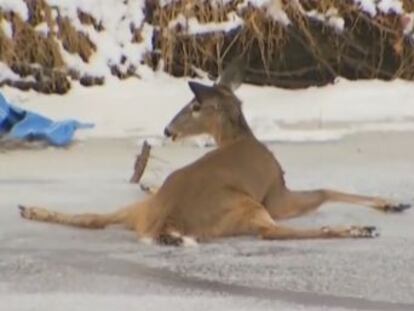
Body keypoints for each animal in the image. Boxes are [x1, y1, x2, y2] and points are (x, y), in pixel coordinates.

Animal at [17, 61, 410, 246]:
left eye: (194, 106)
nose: (167, 130)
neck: (237, 139)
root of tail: (166, 221)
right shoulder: (277, 193)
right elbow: (326, 190)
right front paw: (392, 202)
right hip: (246, 205)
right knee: (272, 233)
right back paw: (358, 229)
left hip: (142, 209)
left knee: (93, 218)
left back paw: (31, 208)